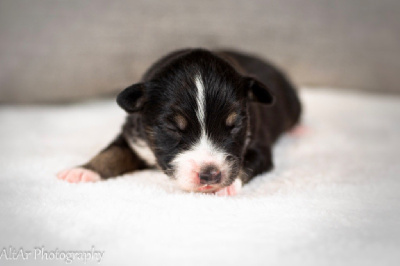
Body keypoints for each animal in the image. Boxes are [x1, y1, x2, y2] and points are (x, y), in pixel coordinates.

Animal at [57, 48, 302, 195]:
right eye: (173, 128)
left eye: (234, 126)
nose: (210, 174)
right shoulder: (133, 136)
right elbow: (112, 152)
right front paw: (83, 171)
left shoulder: (260, 145)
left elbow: (248, 162)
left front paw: (227, 186)